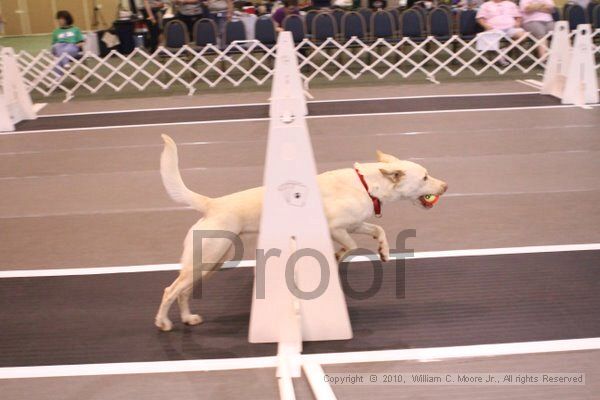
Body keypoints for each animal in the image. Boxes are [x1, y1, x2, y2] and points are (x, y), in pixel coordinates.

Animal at [155, 134, 446, 332]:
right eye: (425, 177)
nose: (445, 186)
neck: (367, 185)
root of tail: (212, 203)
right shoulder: (337, 227)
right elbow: (351, 247)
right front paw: (338, 255)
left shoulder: (354, 224)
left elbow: (378, 229)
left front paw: (383, 251)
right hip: (206, 259)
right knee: (169, 290)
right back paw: (163, 322)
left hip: (212, 263)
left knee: (182, 292)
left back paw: (188, 318)